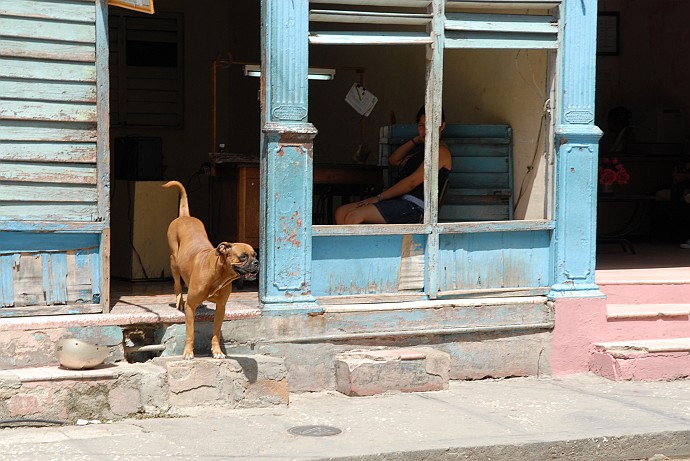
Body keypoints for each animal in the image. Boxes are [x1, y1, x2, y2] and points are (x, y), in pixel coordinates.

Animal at [162, 180, 258, 360]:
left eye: (255, 254)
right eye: (243, 256)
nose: (257, 262)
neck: (220, 275)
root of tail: (185, 216)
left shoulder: (221, 308)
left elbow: (215, 333)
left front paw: (217, 351)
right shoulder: (190, 308)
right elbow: (190, 333)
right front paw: (188, 352)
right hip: (174, 262)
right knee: (177, 284)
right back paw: (179, 301)